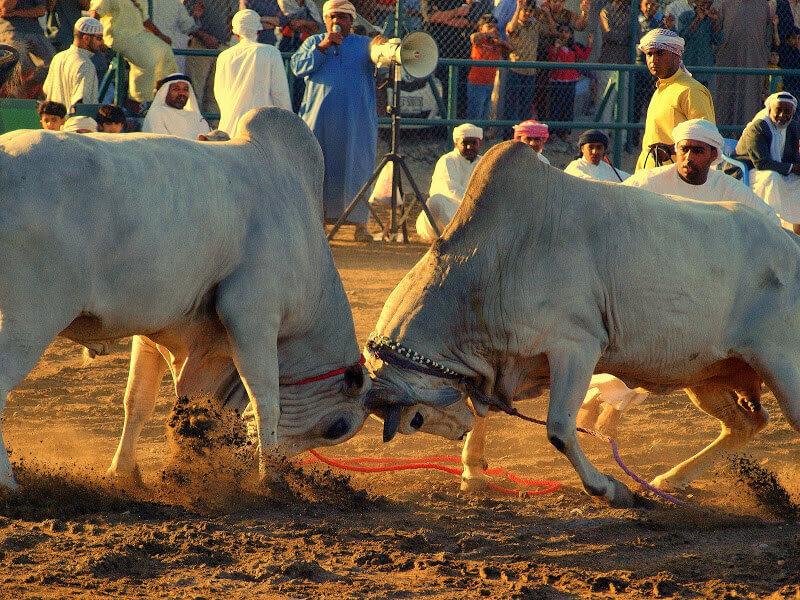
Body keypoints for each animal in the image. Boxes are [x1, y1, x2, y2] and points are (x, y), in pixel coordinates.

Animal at [0, 108, 368, 490]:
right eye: (337, 427)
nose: (281, 462)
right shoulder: (253, 317)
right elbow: (266, 402)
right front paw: (271, 479)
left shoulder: (153, 331)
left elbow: (138, 401)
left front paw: (122, 472)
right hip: (29, 323)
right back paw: (9, 483)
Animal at [368, 139, 800, 506]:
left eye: (416, 419)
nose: (456, 430)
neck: (495, 257)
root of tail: (788, 240)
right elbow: (486, 411)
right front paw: (472, 471)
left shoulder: (576, 347)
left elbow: (559, 428)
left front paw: (610, 488)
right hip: (706, 373)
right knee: (746, 423)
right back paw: (670, 480)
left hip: (781, 365)